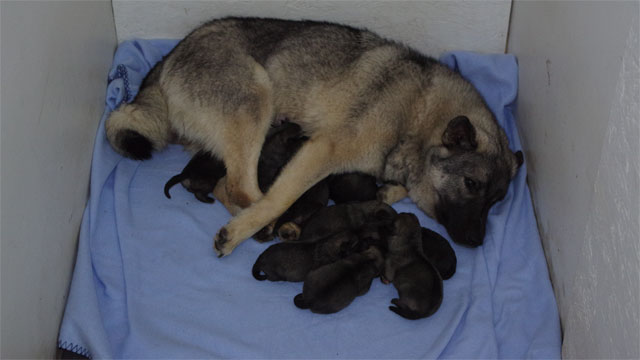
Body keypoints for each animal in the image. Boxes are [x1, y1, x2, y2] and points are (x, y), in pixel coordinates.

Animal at [105, 17, 524, 256]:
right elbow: (278, 197)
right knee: (241, 187)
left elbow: (397, 188)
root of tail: (168, 59)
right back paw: (269, 224)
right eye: (471, 184)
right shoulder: (321, 150)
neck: (418, 116)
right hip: (256, 99)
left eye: (497, 201)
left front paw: (385, 192)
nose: (476, 242)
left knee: (228, 185)